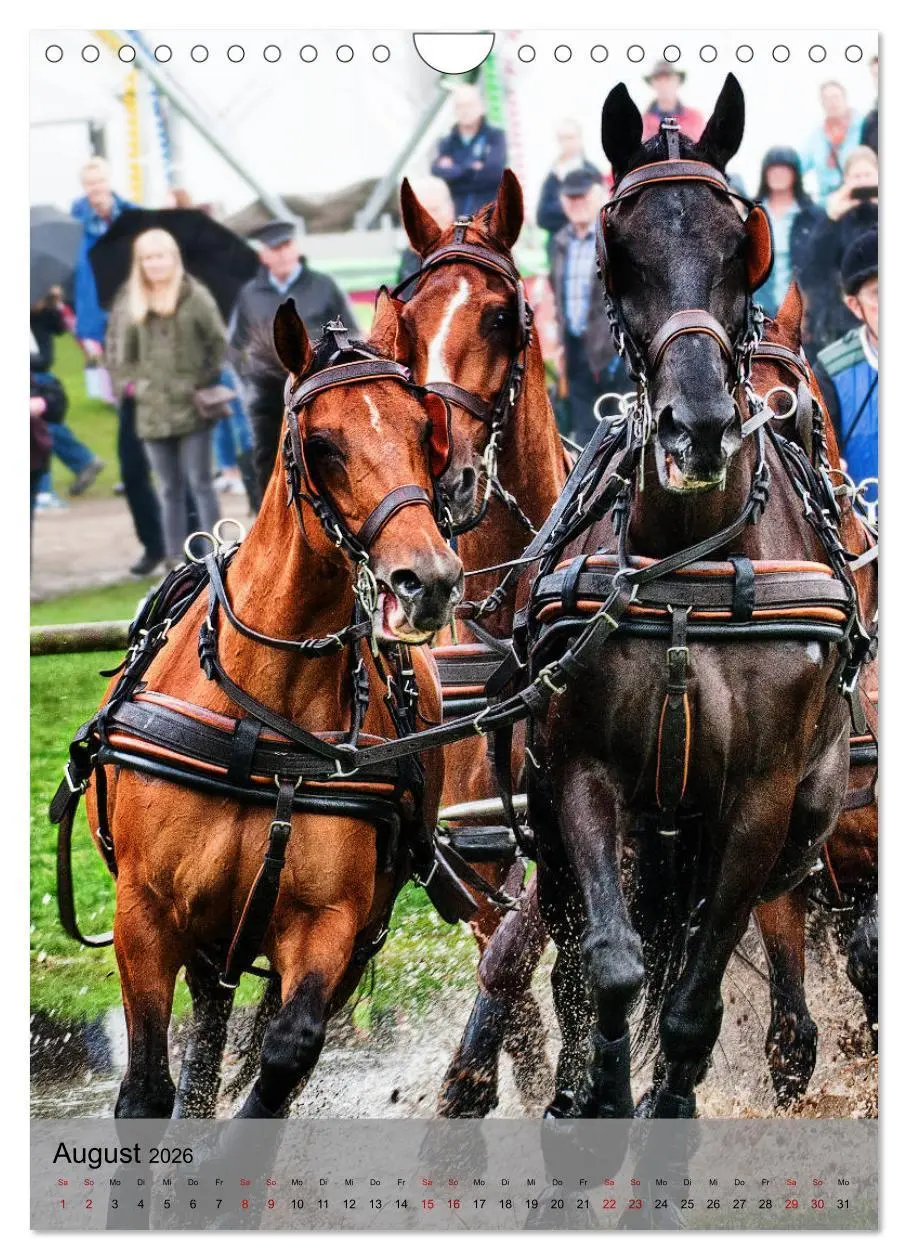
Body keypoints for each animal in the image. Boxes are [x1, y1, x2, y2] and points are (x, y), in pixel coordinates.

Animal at [65, 300, 463, 1119]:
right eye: (322, 444)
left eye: (424, 432)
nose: (429, 579)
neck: (259, 721)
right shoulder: (145, 915)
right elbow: (147, 1088)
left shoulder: (329, 923)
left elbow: (286, 1054)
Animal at [520, 74, 874, 1128]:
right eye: (618, 248)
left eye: (739, 243)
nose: (701, 427)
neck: (689, 569)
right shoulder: (585, 774)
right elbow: (612, 965)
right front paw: (597, 1094)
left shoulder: (756, 801)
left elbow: (692, 996)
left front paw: (667, 1102)